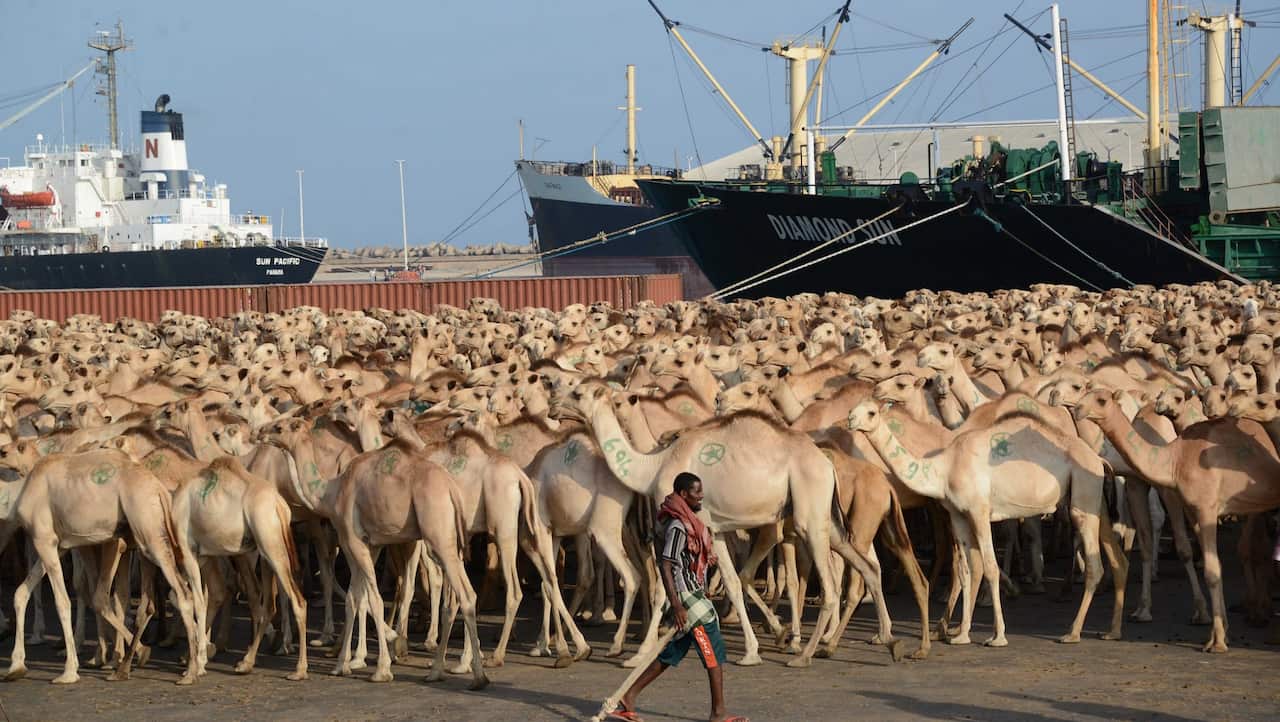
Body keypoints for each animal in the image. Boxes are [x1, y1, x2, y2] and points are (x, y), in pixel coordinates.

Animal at [1072, 389, 1280, 652]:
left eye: (1101, 400)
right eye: (1083, 393)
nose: (1078, 409)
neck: (1176, 459)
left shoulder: (1206, 509)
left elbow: (1211, 571)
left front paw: (1217, 642)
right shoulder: (1194, 511)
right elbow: (1214, 565)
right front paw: (1218, 633)